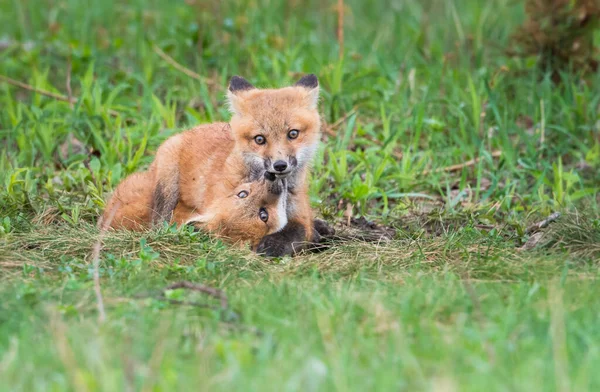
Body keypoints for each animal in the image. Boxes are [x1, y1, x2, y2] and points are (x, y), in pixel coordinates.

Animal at [150, 75, 324, 258]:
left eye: (293, 133)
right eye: (259, 139)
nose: (279, 165)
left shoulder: (300, 215)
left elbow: (298, 232)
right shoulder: (220, 206)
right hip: (168, 185)